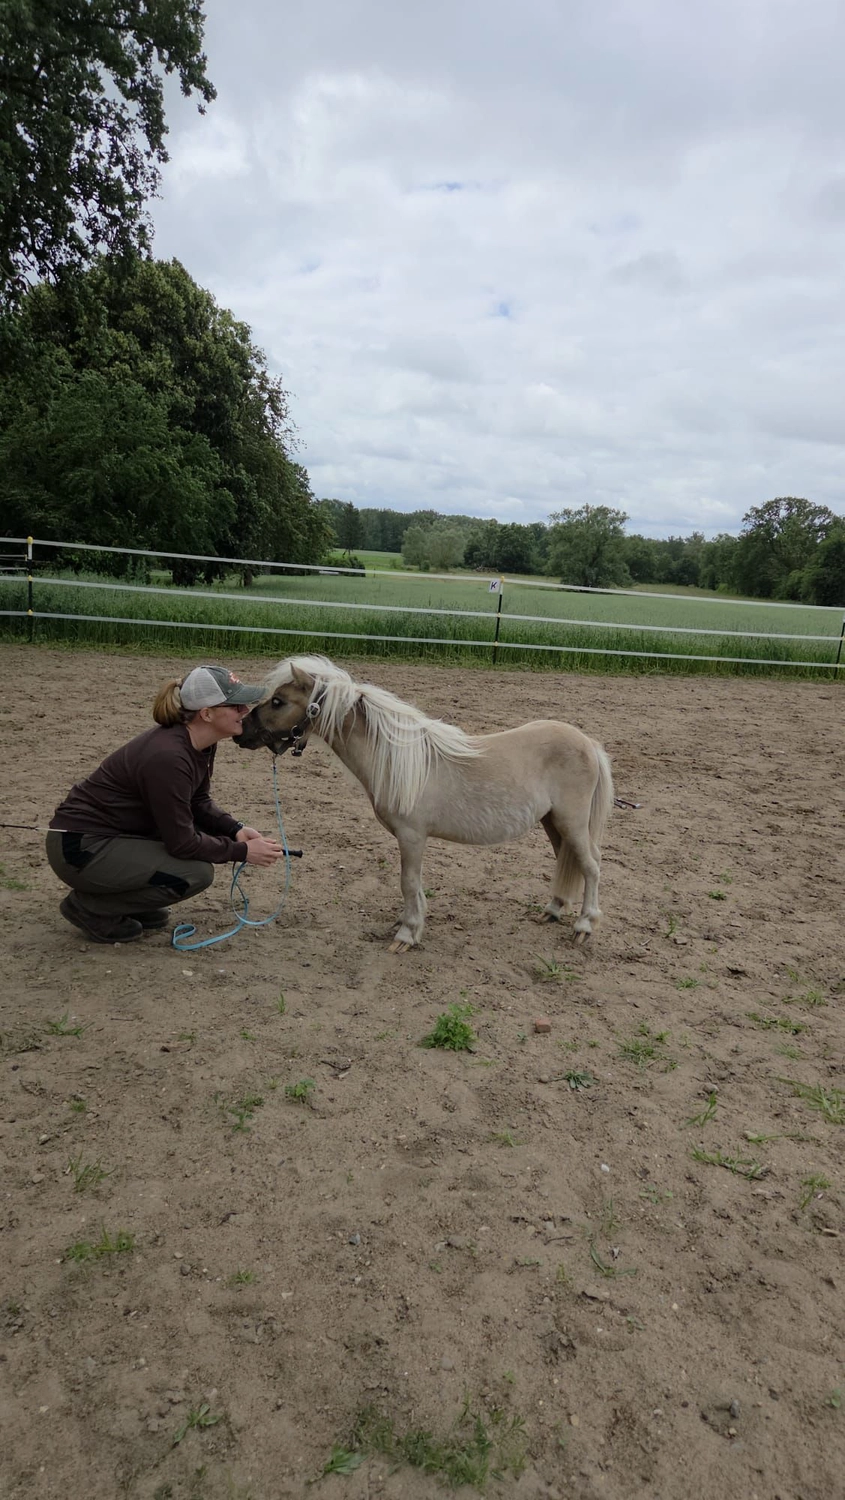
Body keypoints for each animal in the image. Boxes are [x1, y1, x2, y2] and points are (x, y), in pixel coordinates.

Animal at [237, 656, 614, 954]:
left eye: (278, 701)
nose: (242, 732)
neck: (395, 760)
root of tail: (588, 742)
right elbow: (413, 886)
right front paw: (408, 922)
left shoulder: (412, 836)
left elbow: (408, 882)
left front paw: (406, 935)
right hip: (553, 823)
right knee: (569, 863)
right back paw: (552, 910)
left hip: (572, 823)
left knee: (591, 867)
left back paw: (584, 927)